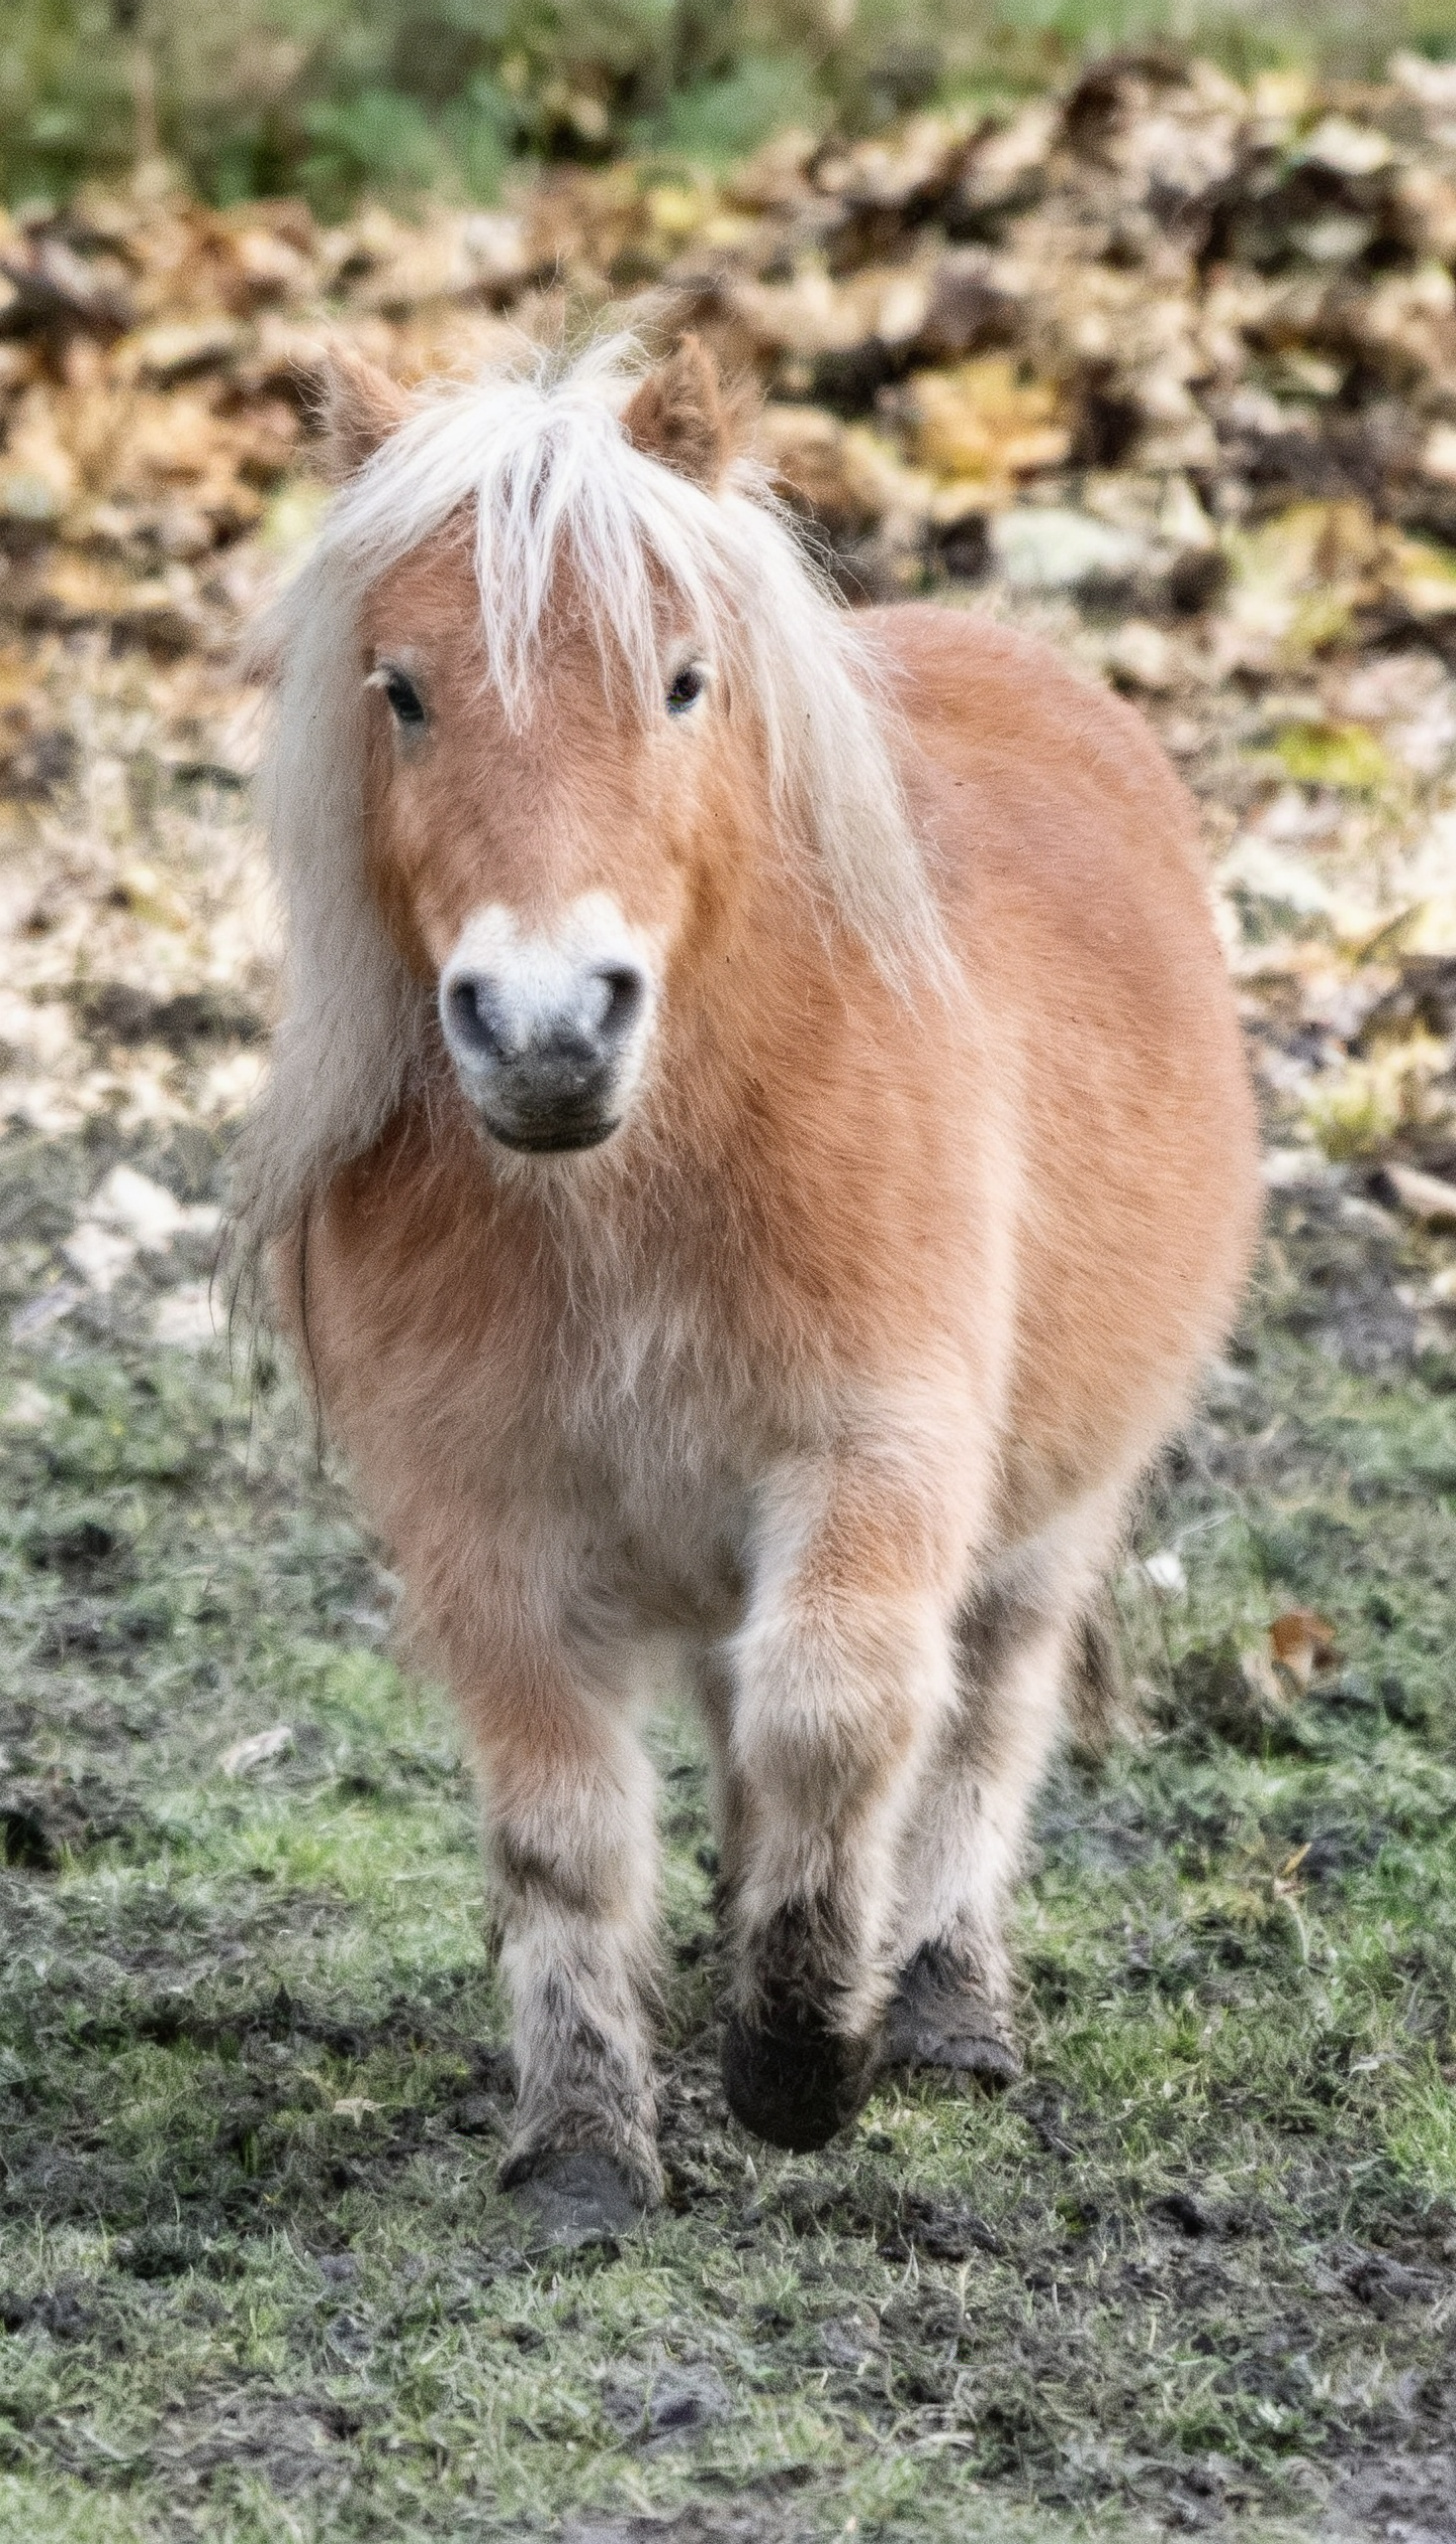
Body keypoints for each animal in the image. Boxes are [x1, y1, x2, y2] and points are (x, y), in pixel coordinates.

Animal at [233, 330, 1261, 2236]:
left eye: (683, 682)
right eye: (399, 689)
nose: (548, 1027)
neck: (629, 1197)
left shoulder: (878, 1456)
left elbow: (840, 1717)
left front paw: (799, 2056)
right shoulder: (483, 1528)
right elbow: (564, 1830)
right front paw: (583, 2143)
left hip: (1047, 1517)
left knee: (981, 1719)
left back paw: (938, 2003)